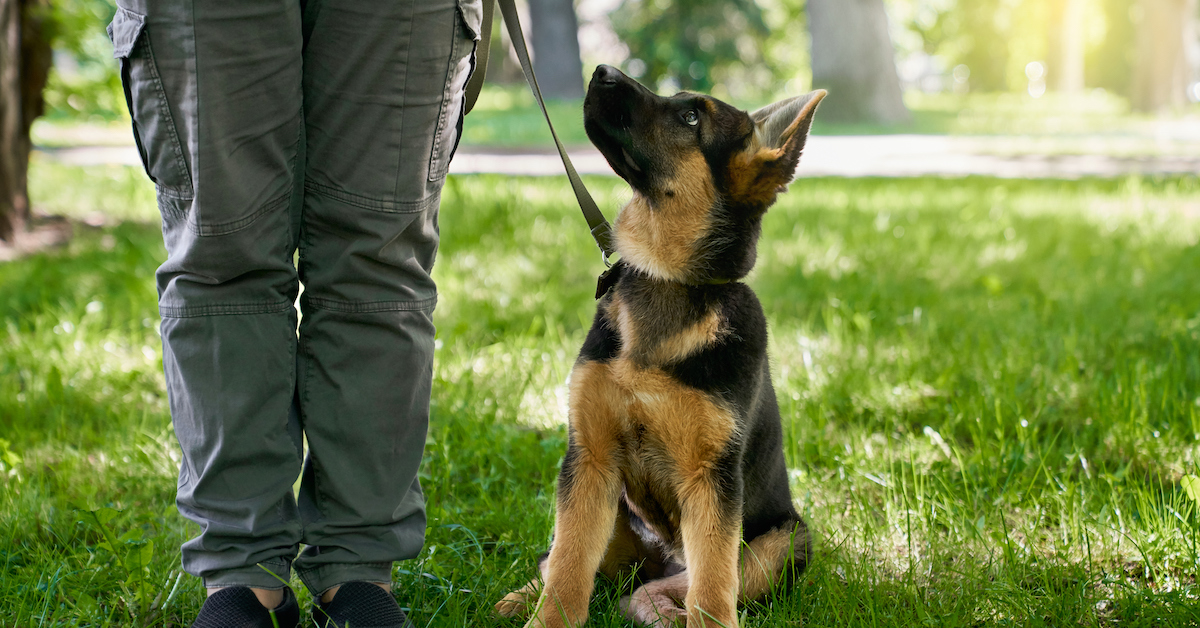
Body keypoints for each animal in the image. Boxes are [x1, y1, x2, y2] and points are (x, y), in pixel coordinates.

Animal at [496, 65, 825, 628]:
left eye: (691, 117)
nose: (602, 71)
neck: (667, 277)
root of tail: (659, 564)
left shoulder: (711, 479)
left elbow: (713, 586)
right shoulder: (589, 458)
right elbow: (568, 566)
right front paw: (547, 618)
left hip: (784, 541)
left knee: (673, 588)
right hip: (611, 511)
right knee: (569, 562)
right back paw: (520, 598)